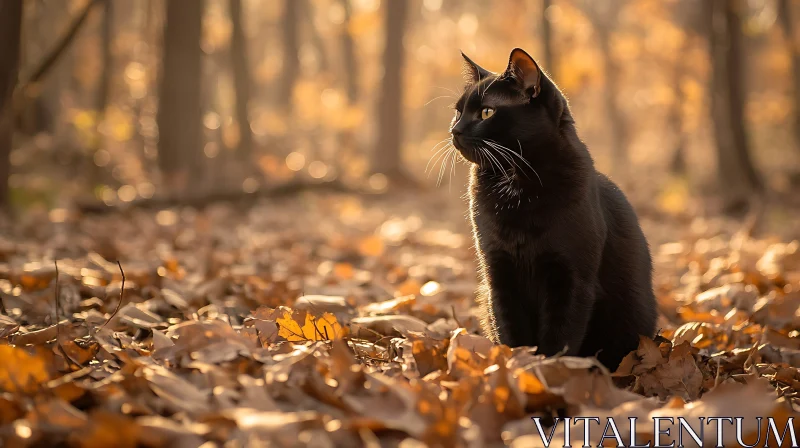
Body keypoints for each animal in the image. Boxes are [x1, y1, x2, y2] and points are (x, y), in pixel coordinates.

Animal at [450, 48, 656, 372]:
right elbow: (510, 329)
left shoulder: (571, 277)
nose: (454, 130)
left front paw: (549, 371)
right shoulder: (498, 271)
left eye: (486, 113)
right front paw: (514, 365)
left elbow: (561, 336)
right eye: (458, 112)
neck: (516, 183)